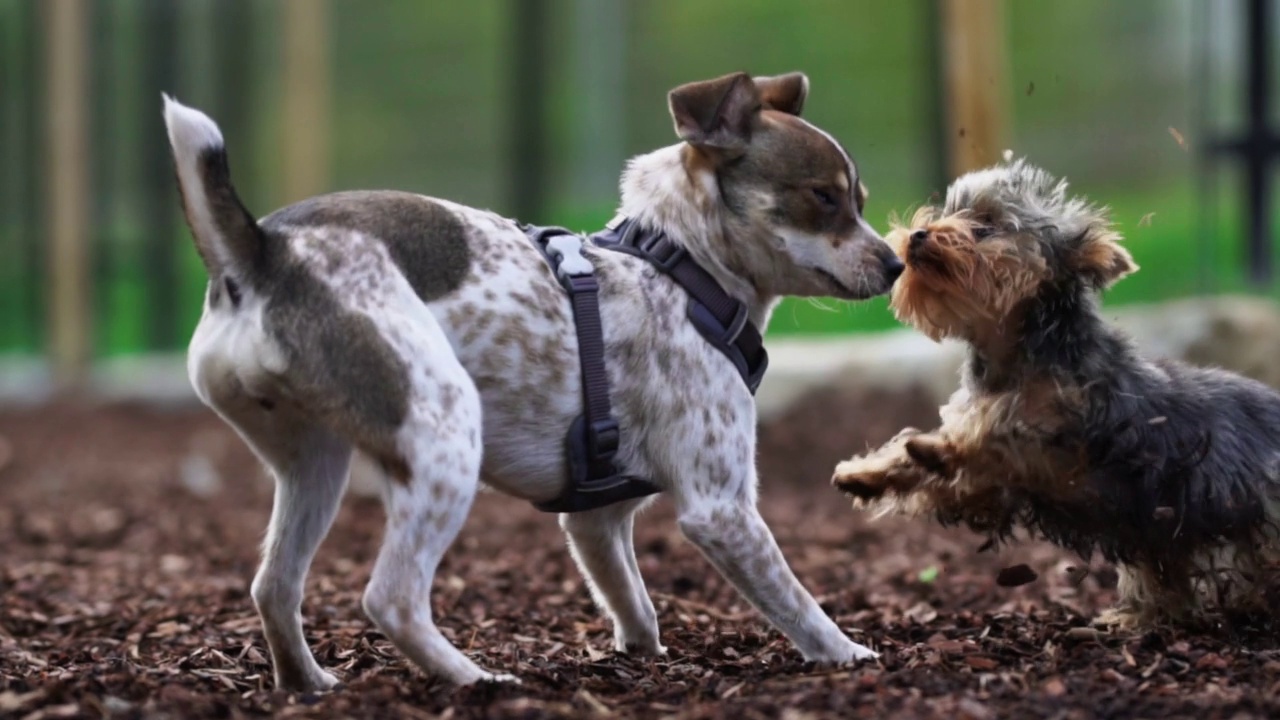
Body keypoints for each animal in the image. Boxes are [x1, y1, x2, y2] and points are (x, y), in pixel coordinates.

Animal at [162, 71, 901, 691]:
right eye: (824, 198)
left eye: (861, 200)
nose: (897, 263)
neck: (678, 268)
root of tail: (263, 253)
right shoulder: (721, 510)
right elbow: (796, 600)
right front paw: (848, 655)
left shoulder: (596, 519)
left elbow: (634, 604)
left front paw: (641, 659)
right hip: (444, 439)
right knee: (392, 598)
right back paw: (477, 681)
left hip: (314, 467)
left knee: (274, 587)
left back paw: (307, 683)